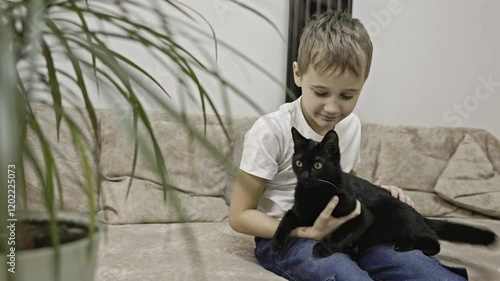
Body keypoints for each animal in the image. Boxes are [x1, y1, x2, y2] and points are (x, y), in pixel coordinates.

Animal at [274, 128, 496, 258]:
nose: (305, 176)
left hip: (399, 217)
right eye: (299, 163)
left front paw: (324, 247)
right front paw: (276, 241)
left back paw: (404, 246)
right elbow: (286, 218)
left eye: (318, 165)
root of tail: (420, 216)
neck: (314, 195)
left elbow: (341, 231)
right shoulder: (299, 211)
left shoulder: (361, 215)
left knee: (434, 241)